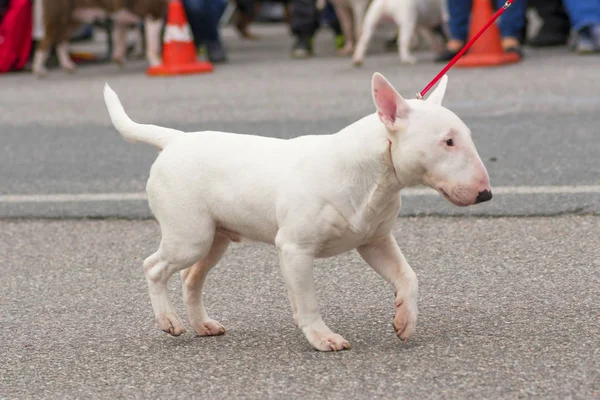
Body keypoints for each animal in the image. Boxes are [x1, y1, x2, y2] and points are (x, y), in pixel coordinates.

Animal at [34, 0, 168, 76]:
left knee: (61, 40)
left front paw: (119, 59)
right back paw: (39, 70)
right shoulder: (154, 13)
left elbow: (121, 37)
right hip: (59, 16)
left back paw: (68, 66)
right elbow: (153, 44)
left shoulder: (122, 18)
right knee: (45, 42)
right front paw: (157, 64)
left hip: (74, 19)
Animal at [102, 73, 492, 352]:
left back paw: (203, 325)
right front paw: (323, 338)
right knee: (154, 267)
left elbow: (408, 276)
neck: (369, 172)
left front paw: (405, 320)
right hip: (189, 237)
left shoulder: (375, 241)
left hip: (215, 239)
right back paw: (168, 320)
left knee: (191, 278)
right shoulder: (295, 249)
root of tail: (175, 140)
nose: (485, 194)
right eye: (448, 141)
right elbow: (307, 301)